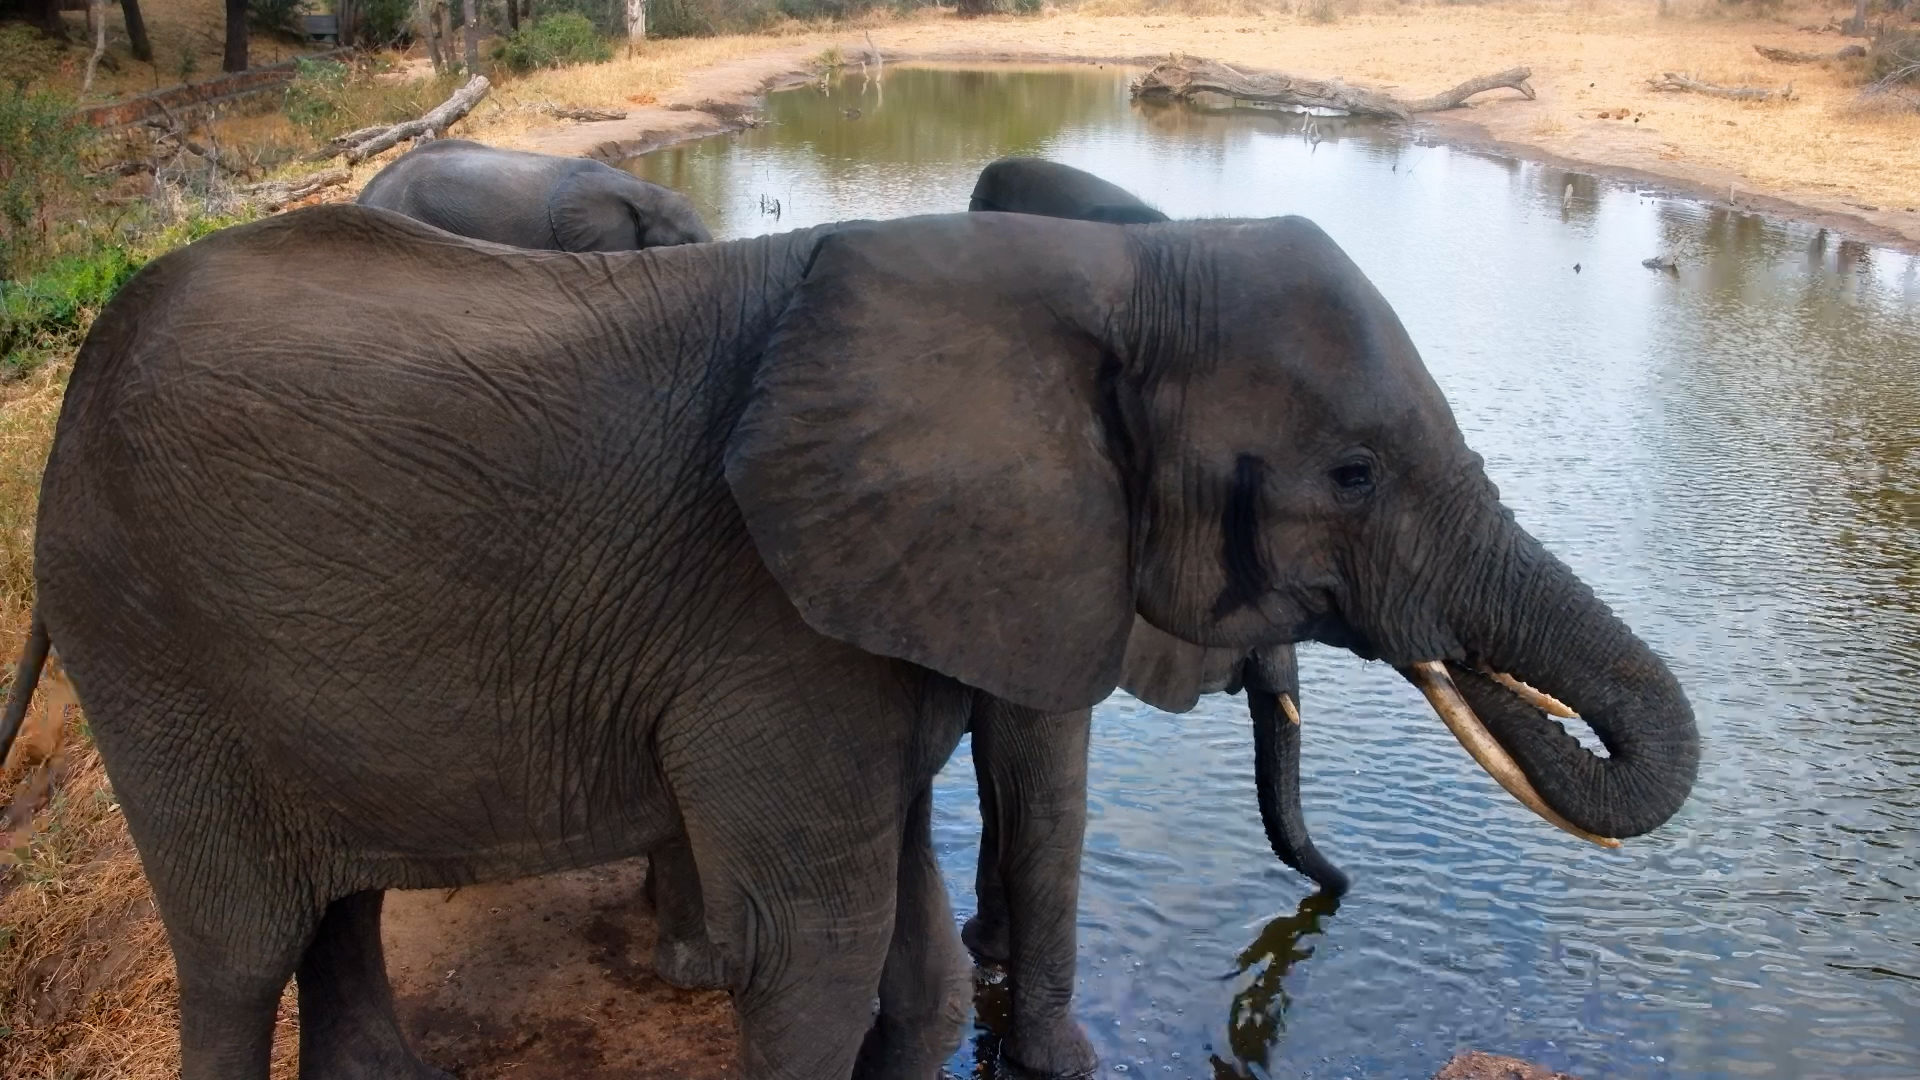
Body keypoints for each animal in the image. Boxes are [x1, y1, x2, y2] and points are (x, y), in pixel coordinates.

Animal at [0, 203, 1698, 1080]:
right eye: (1350, 474)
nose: (1327, 904)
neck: (1096, 271)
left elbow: (914, 944)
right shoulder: (768, 615)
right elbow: (807, 950)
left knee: (338, 909)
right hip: (138, 633)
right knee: (237, 948)